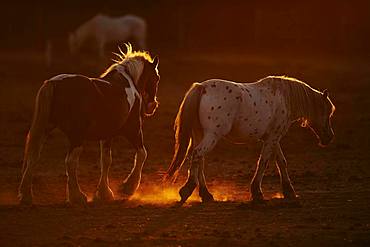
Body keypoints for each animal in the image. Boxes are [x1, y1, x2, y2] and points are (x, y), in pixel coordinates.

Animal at [18, 45, 160, 206]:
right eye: (156, 78)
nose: (152, 106)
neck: (127, 83)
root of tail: (54, 83)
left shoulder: (107, 135)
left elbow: (106, 161)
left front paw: (104, 193)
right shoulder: (133, 129)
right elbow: (142, 154)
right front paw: (128, 187)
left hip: (45, 129)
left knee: (33, 157)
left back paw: (27, 196)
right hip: (77, 137)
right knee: (71, 161)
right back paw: (77, 196)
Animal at [166, 76, 336, 204]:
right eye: (327, 112)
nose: (329, 137)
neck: (284, 98)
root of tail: (202, 87)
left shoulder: (272, 138)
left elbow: (281, 162)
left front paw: (289, 191)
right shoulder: (272, 138)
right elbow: (264, 162)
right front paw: (257, 193)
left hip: (200, 134)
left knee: (199, 159)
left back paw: (206, 194)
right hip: (212, 135)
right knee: (197, 154)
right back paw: (187, 190)